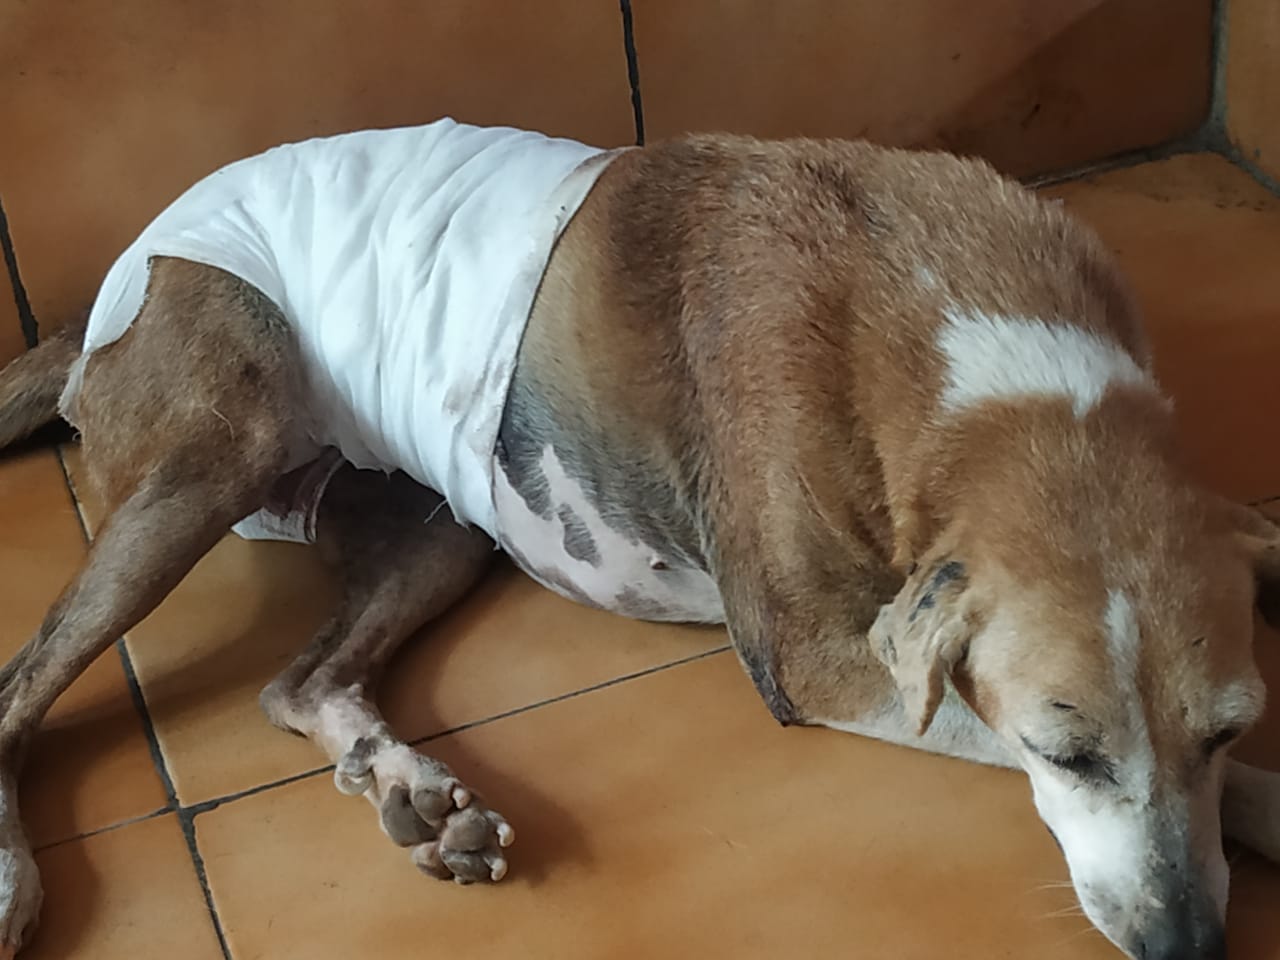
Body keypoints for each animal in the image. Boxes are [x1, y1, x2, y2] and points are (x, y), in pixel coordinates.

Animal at [1, 118, 1279, 960]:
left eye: (1225, 728)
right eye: (1062, 754)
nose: (1187, 948)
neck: (986, 364)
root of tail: (121, 268)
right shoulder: (814, 662)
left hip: (441, 528)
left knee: (301, 681)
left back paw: (413, 790)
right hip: (218, 448)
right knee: (20, 688)